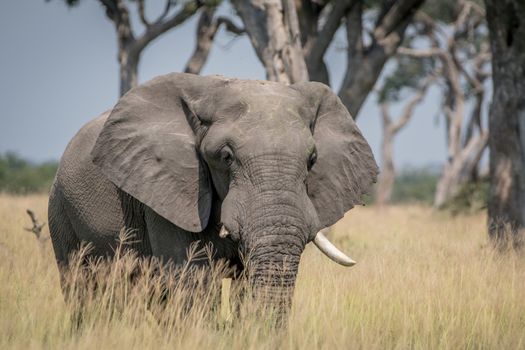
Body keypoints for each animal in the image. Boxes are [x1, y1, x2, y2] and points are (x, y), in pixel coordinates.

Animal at [48, 73, 376, 318]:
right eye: (226, 157)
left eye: (312, 160)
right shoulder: (168, 193)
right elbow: (194, 281)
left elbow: (246, 282)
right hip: (61, 212)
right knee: (82, 287)